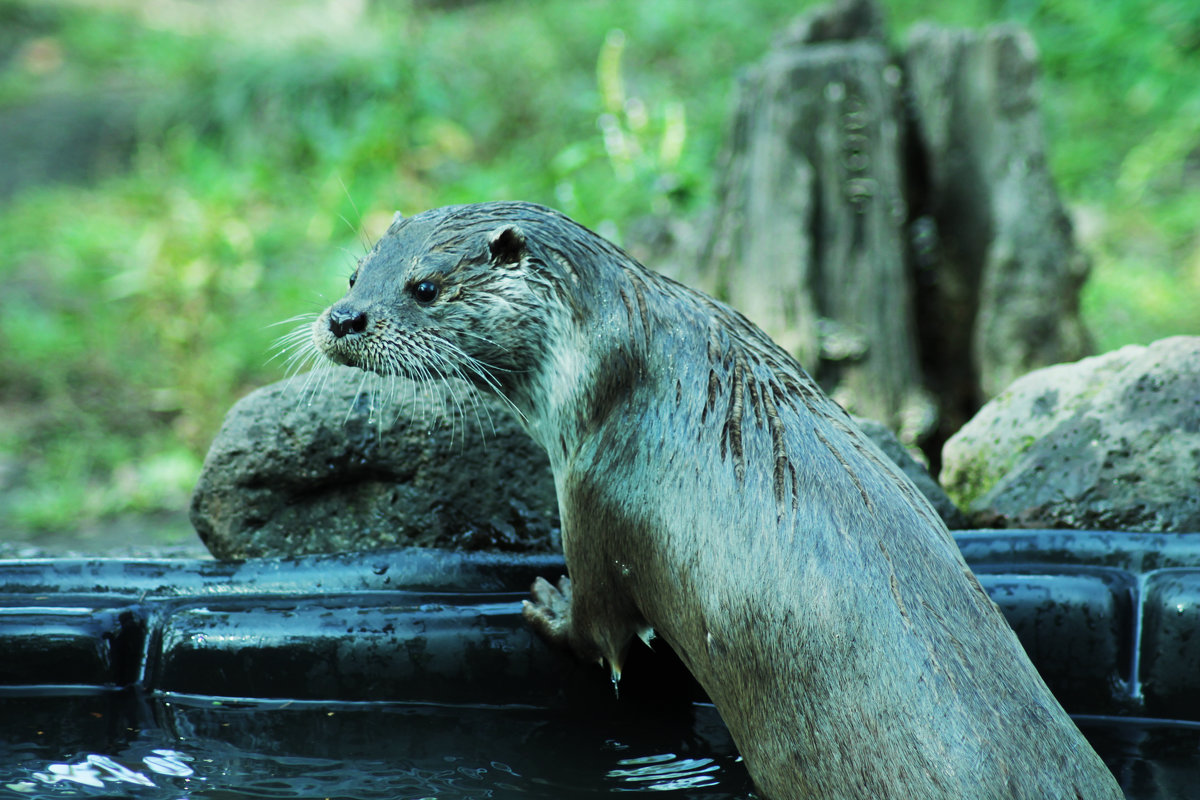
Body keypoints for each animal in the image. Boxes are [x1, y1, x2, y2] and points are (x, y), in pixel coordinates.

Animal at [312, 203, 1123, 800]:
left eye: (423, 287)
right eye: (354, 275)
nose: (344, 318)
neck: (608, 364)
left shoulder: (591, 489)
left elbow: (601, 629)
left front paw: (547, 602)